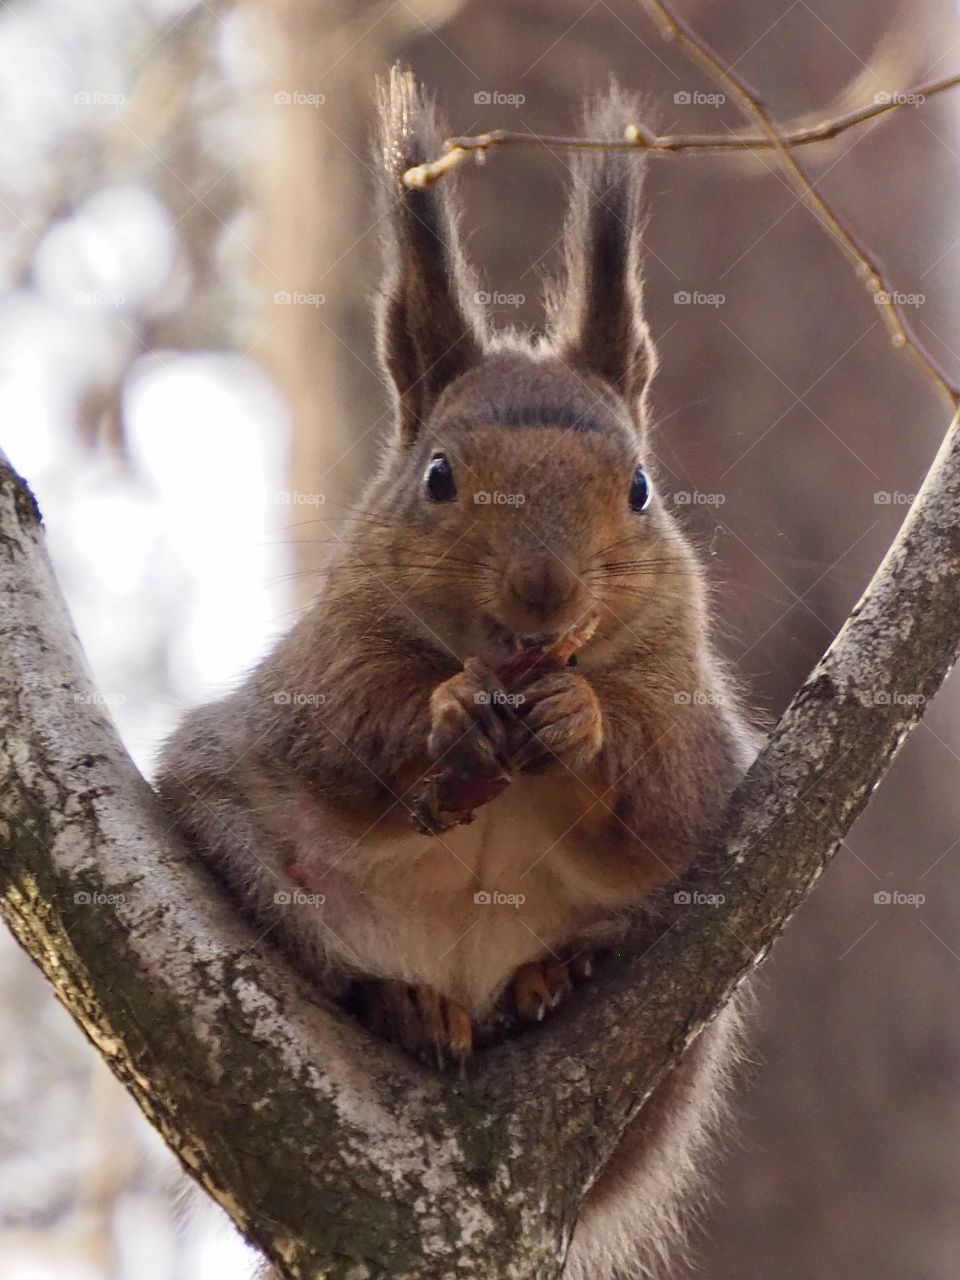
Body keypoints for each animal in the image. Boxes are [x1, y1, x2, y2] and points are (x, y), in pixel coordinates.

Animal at [156, 68, 758, 1280]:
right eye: (437, 476)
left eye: (639, 489)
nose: (543, 594)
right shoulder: (319, 671)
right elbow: (342, 739)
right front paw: (447, 713)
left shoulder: (695, 715)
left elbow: (673, 798)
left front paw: (582, 719)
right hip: (240, 839)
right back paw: (407, 1007)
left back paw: (551, 979)